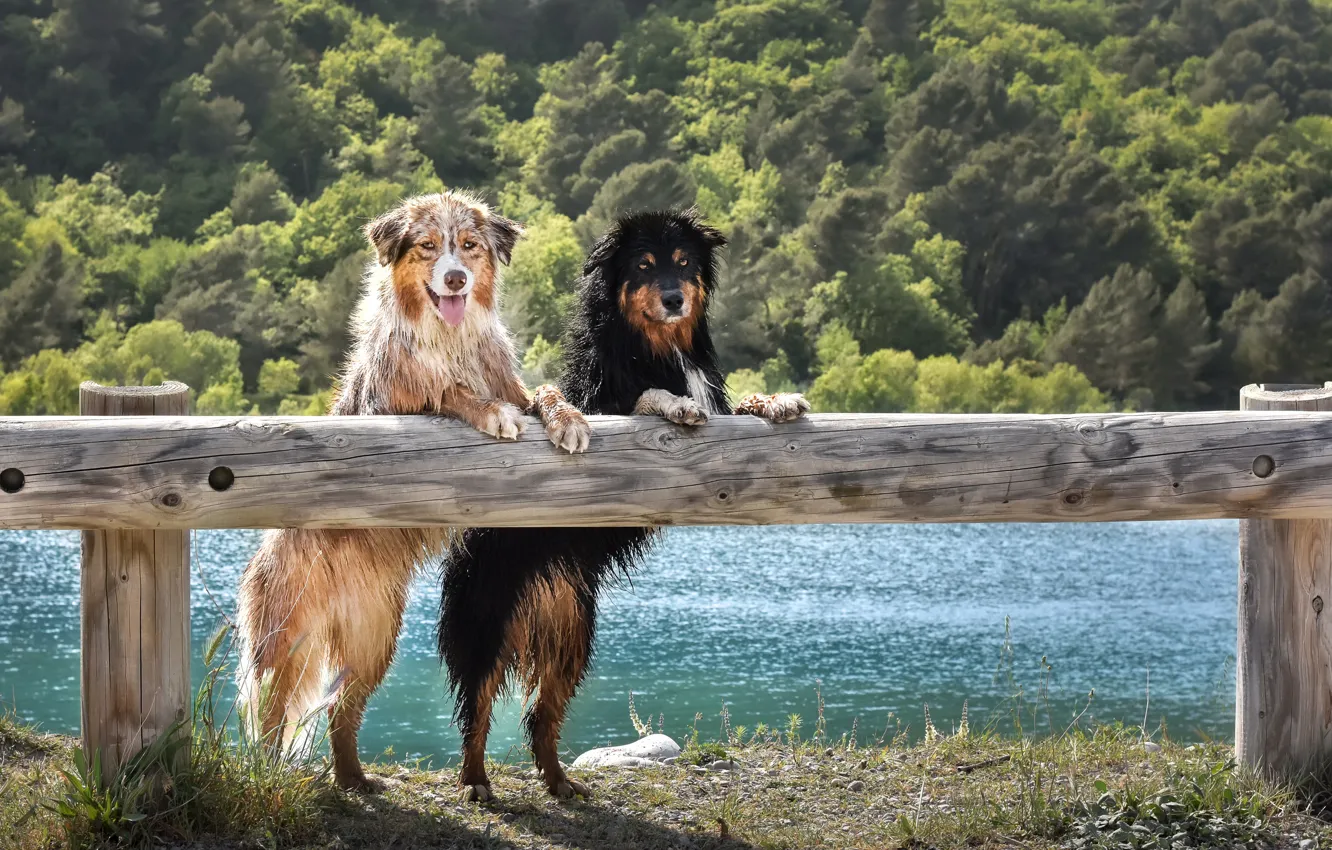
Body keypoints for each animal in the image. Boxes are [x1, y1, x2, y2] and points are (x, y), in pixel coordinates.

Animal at [442, 210, 804, 804]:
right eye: (644, 267)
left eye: (683, 264)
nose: (675, 299)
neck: (657, 346)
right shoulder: (602, 404)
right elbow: (643, 399)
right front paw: (673, 403)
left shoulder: (720, 407)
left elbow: (742, 405)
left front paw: (778, 400)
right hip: (489, 624)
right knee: (477, 710)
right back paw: (476, 783)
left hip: (572, 638)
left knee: (541, 718)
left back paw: (560, 782)